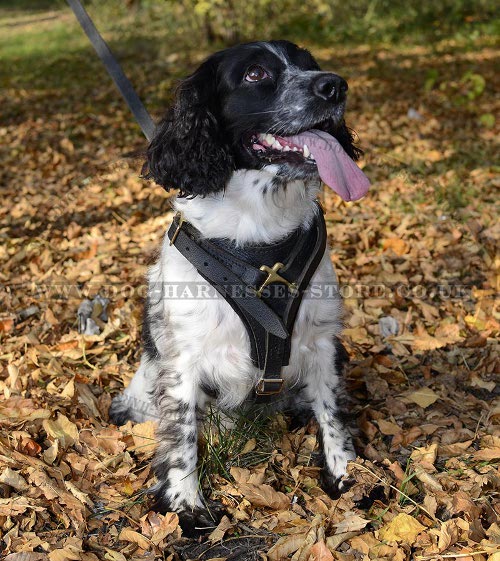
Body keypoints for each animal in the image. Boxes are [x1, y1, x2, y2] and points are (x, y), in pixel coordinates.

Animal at [109, 40, 370, 532]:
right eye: (255, 74)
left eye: (308, 63)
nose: (335, 85)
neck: (259, 237)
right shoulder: (183, 359)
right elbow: (182, 435)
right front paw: (185, 504)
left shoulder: (323, 341)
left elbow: (331, 411)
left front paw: (346, 474)